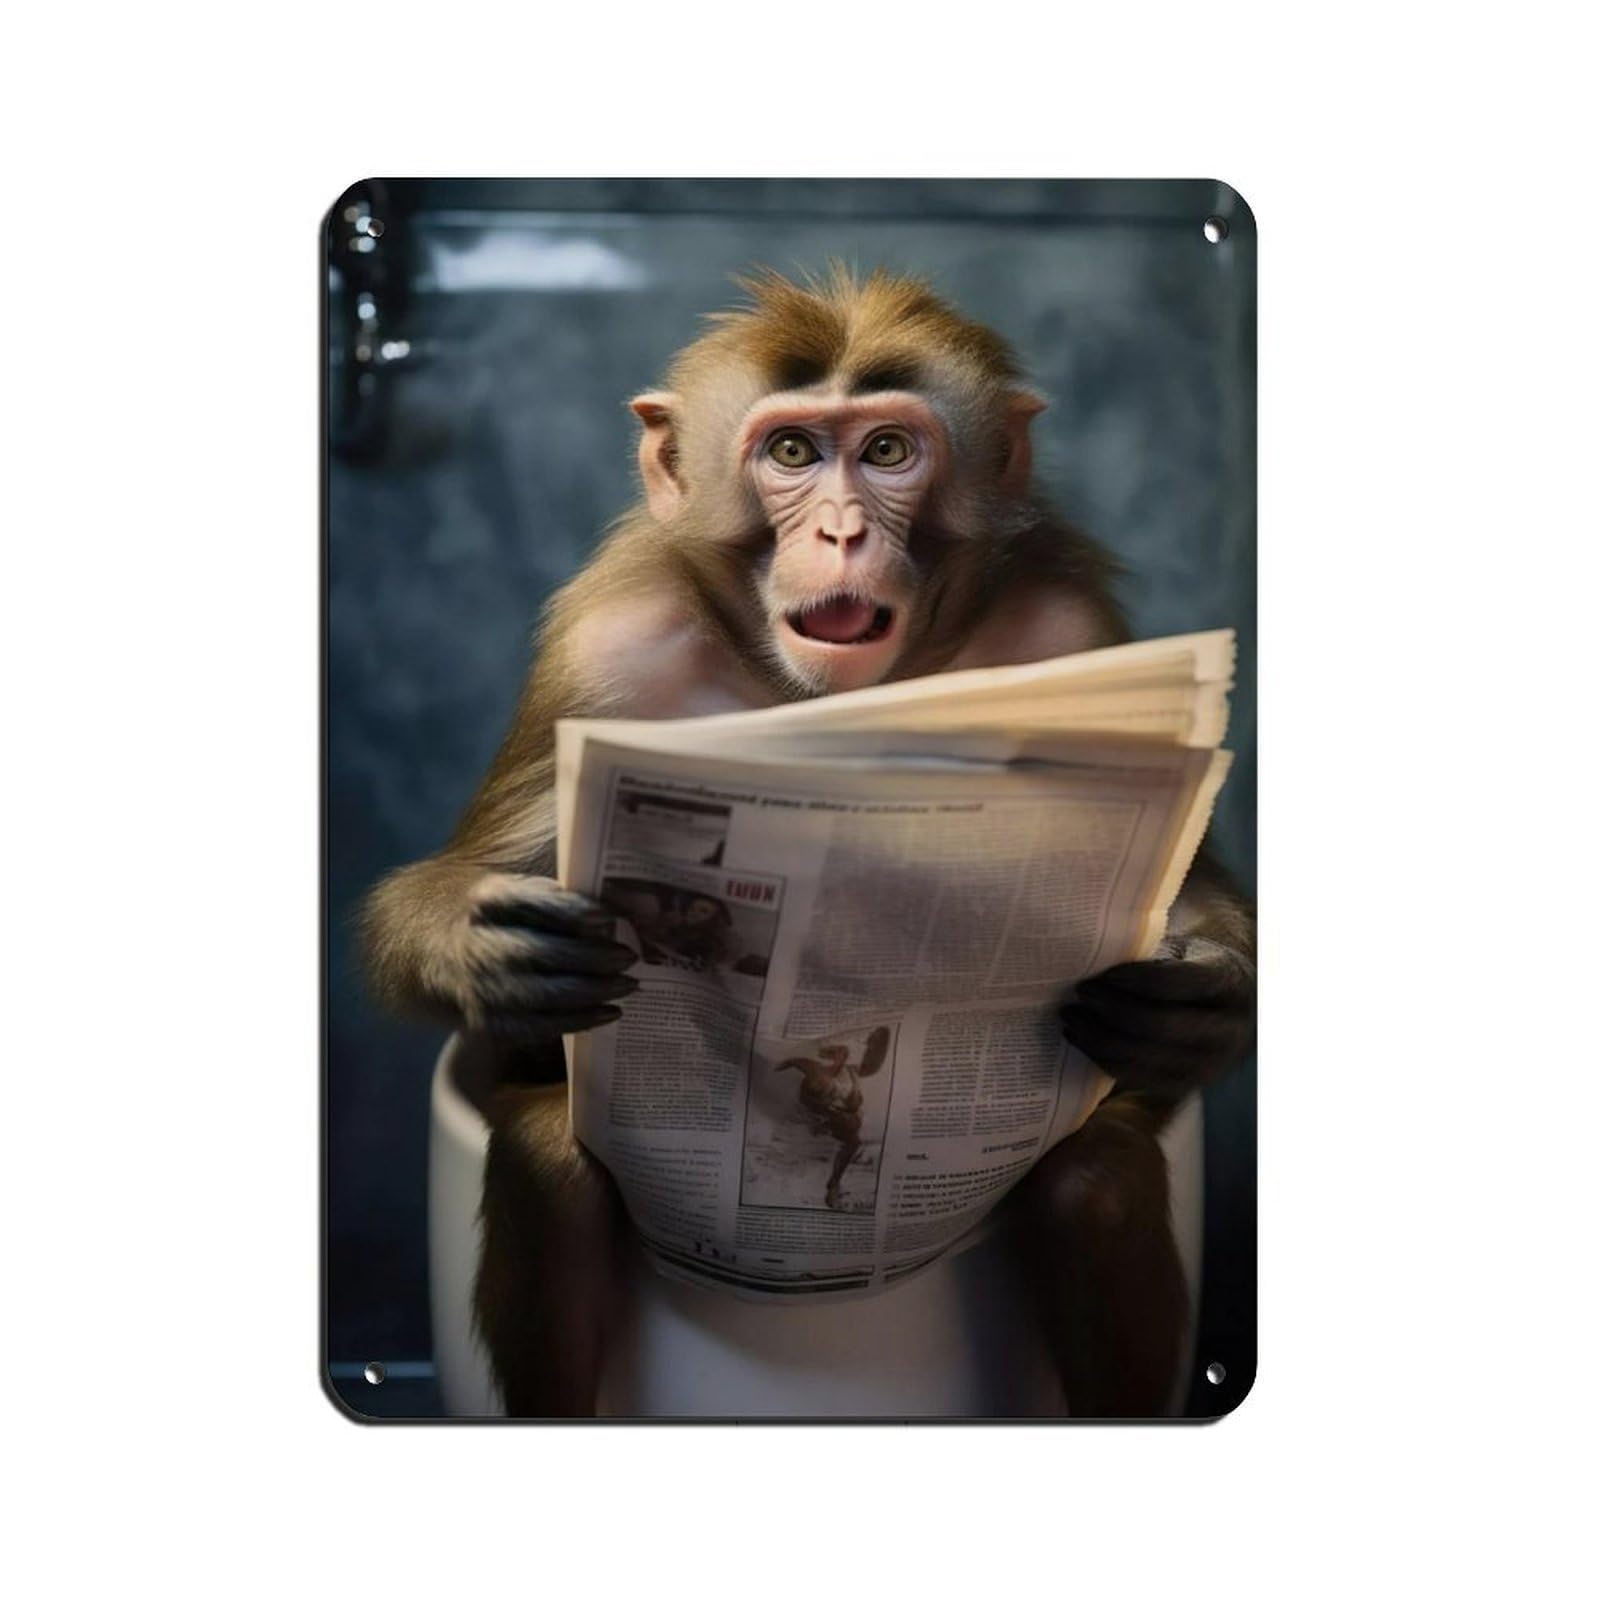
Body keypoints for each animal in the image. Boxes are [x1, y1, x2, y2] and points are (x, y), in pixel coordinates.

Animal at [362, 266, 1256, 1419]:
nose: (838, 532)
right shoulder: (604, 652)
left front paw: (1196, 998)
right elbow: (467, 881)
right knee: (553, 1166)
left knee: (1092, 1177)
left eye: (886, 450)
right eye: (791, 452)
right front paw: (491, 950)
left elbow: (1186, 891)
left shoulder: (1070, 631)